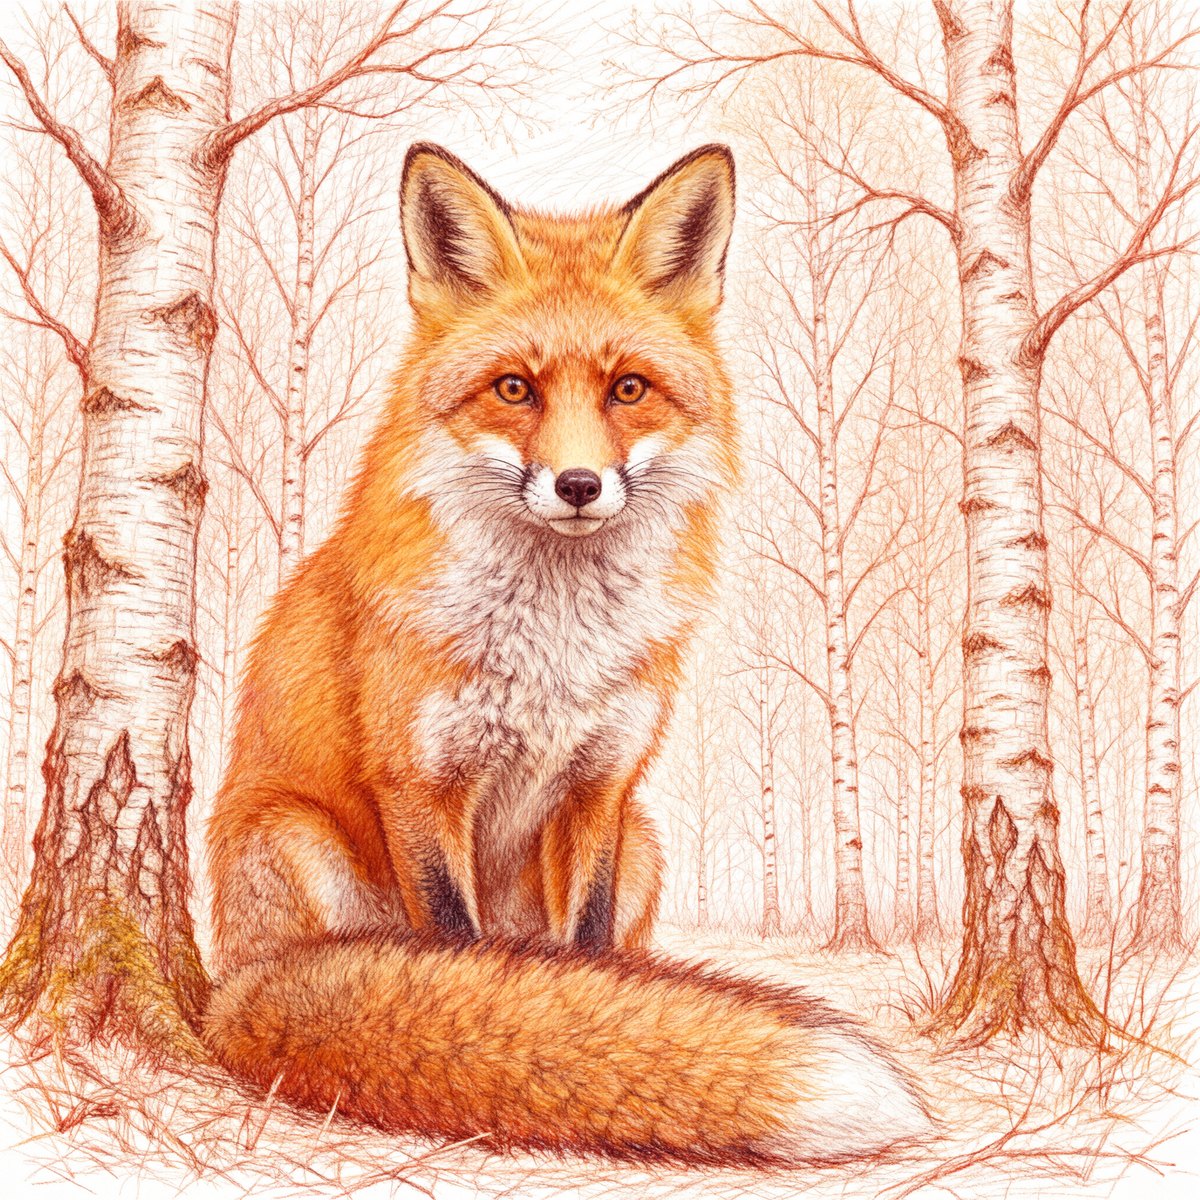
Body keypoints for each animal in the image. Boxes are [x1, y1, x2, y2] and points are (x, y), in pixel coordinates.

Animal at [202, 142, 933, 1166]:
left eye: (627, 388)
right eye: (516, 388)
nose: (580, 484)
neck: (554, 649)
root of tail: (224, 991)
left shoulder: (600, 787)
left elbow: (588, 960)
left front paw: (596, 1028)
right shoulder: (422, 786)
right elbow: (461, 955)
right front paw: (502, 1031)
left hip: (647, 843)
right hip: (295, 836)